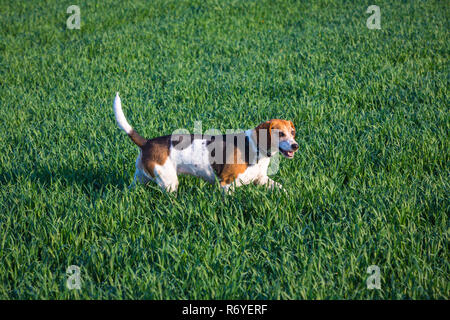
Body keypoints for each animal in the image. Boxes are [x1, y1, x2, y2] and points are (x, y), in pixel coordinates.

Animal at [113, 92, 298, 192]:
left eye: (292, 132)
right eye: (280, 134)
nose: (296, 145)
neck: (255, 147)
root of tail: (147, 142)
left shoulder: (262, 179)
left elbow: (281, 188)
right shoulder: (226, 184)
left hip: (139, 179)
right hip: (169, 182)